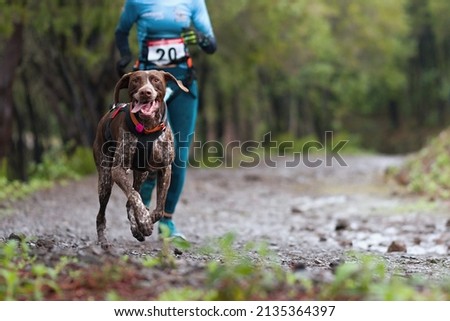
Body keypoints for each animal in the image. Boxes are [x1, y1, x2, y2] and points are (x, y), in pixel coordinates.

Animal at [93, 69, 188, 245]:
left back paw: (136, 228)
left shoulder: (165, 169)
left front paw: (145, 221)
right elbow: (135, 197)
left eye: (156, 80)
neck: (148, 128)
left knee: (129, 201)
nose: (145, 92)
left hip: (141, 174)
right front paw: (144, 220)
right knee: (102, 213)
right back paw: (103, 239)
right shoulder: (117, 170)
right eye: (136, 80)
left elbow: (159, 208)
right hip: (105, 180)